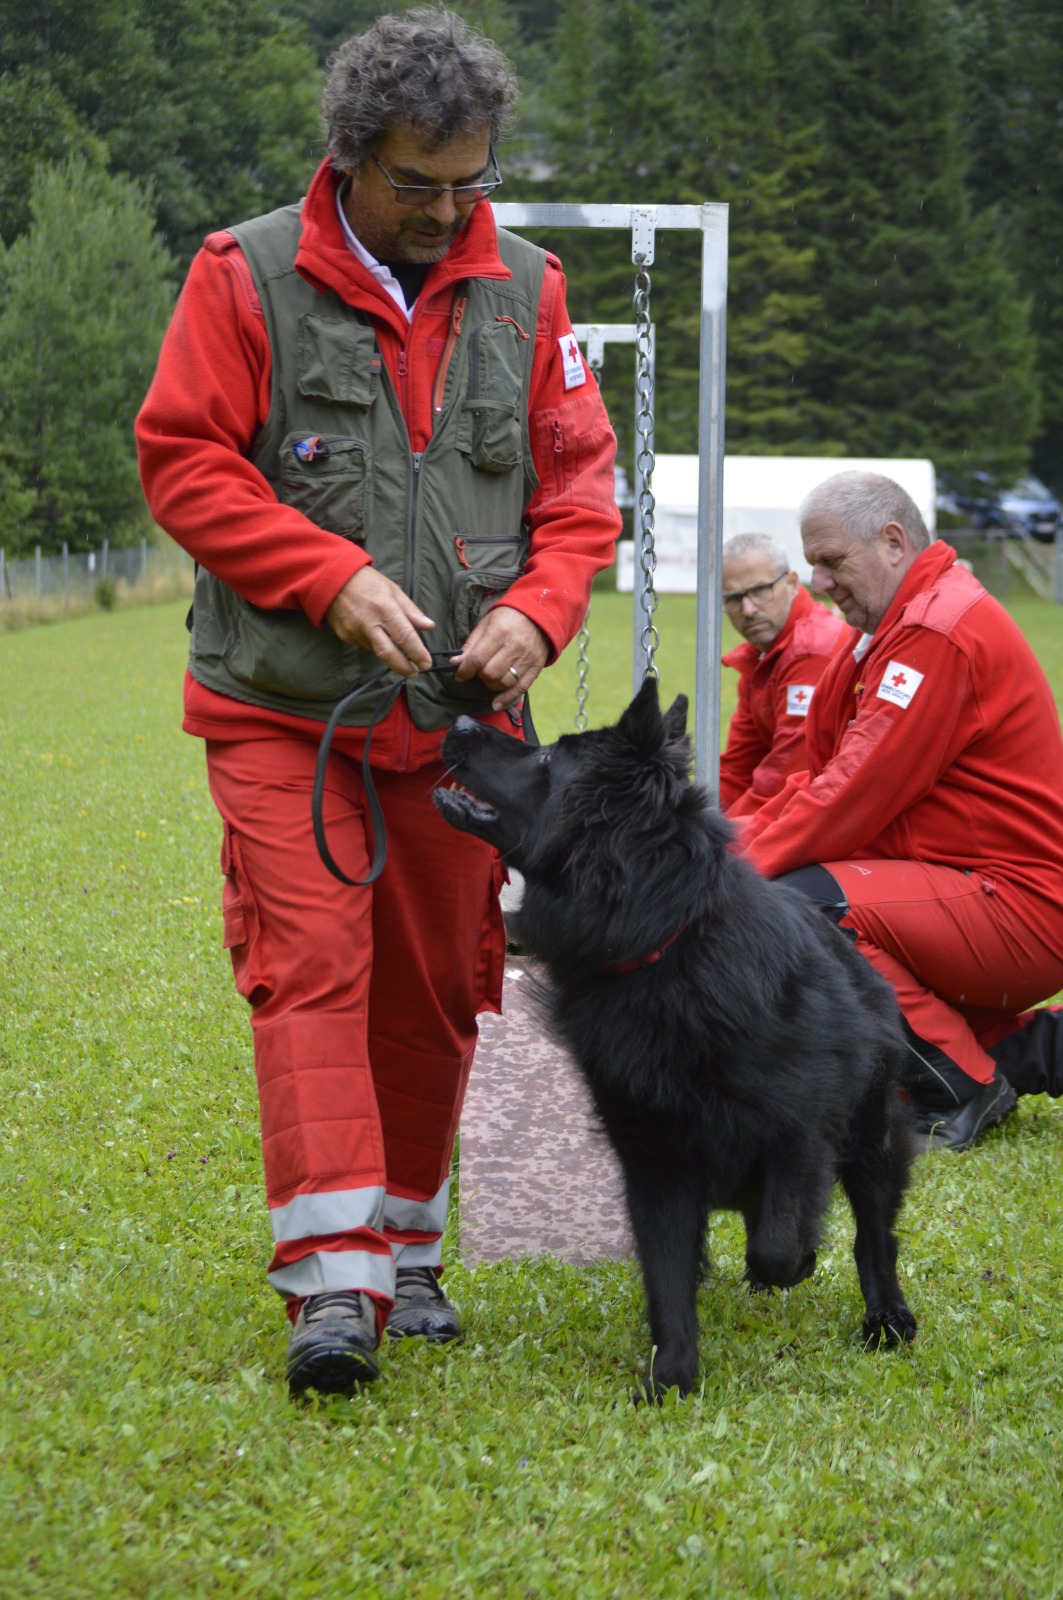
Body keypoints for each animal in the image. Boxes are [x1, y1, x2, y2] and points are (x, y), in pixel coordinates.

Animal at [433, 678, 916, 1398]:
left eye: (546, 759)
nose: (460, 720)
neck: (663, 944)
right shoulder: (654, 1158)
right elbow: (666, 1275)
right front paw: (672, 1380)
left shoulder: (800, 1135)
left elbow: (778, 1247)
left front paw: (796, 1262)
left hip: (871, 1137)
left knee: (873, 1236)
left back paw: (886, 1317)